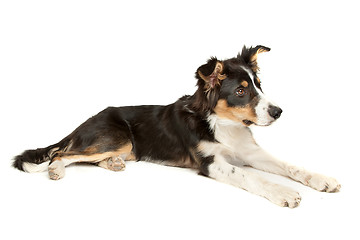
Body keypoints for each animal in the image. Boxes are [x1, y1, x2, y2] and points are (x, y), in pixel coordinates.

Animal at [13, 46, 340, 207]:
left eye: (259, 85)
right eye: (241, 91)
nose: (278, 112)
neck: (222, 124)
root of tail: (84, 123)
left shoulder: (251, 152)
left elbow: (290, 166)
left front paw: (321, 179)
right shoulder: (211, 163)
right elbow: (251, 176)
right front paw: (283, 193)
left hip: (126, 147)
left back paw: (114, 164)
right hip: (116, 137)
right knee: (62, 153)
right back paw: (56, 169)